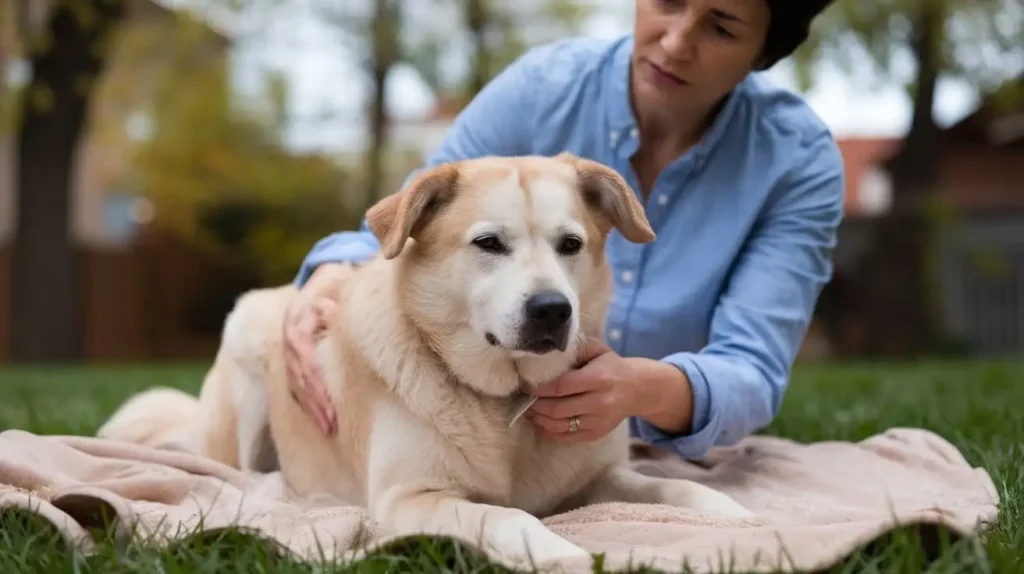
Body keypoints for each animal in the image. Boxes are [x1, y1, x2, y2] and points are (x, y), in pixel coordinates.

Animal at [97, 152, 753, 568]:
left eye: (571, 245)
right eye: (489, 243)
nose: (551, 311)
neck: (506, 402)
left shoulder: (596, 480)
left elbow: (671, 488)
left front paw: (737, 515)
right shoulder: (412, 499)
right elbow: (510, 518)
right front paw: (562, 552)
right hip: (248, 340)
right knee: (230, 467)